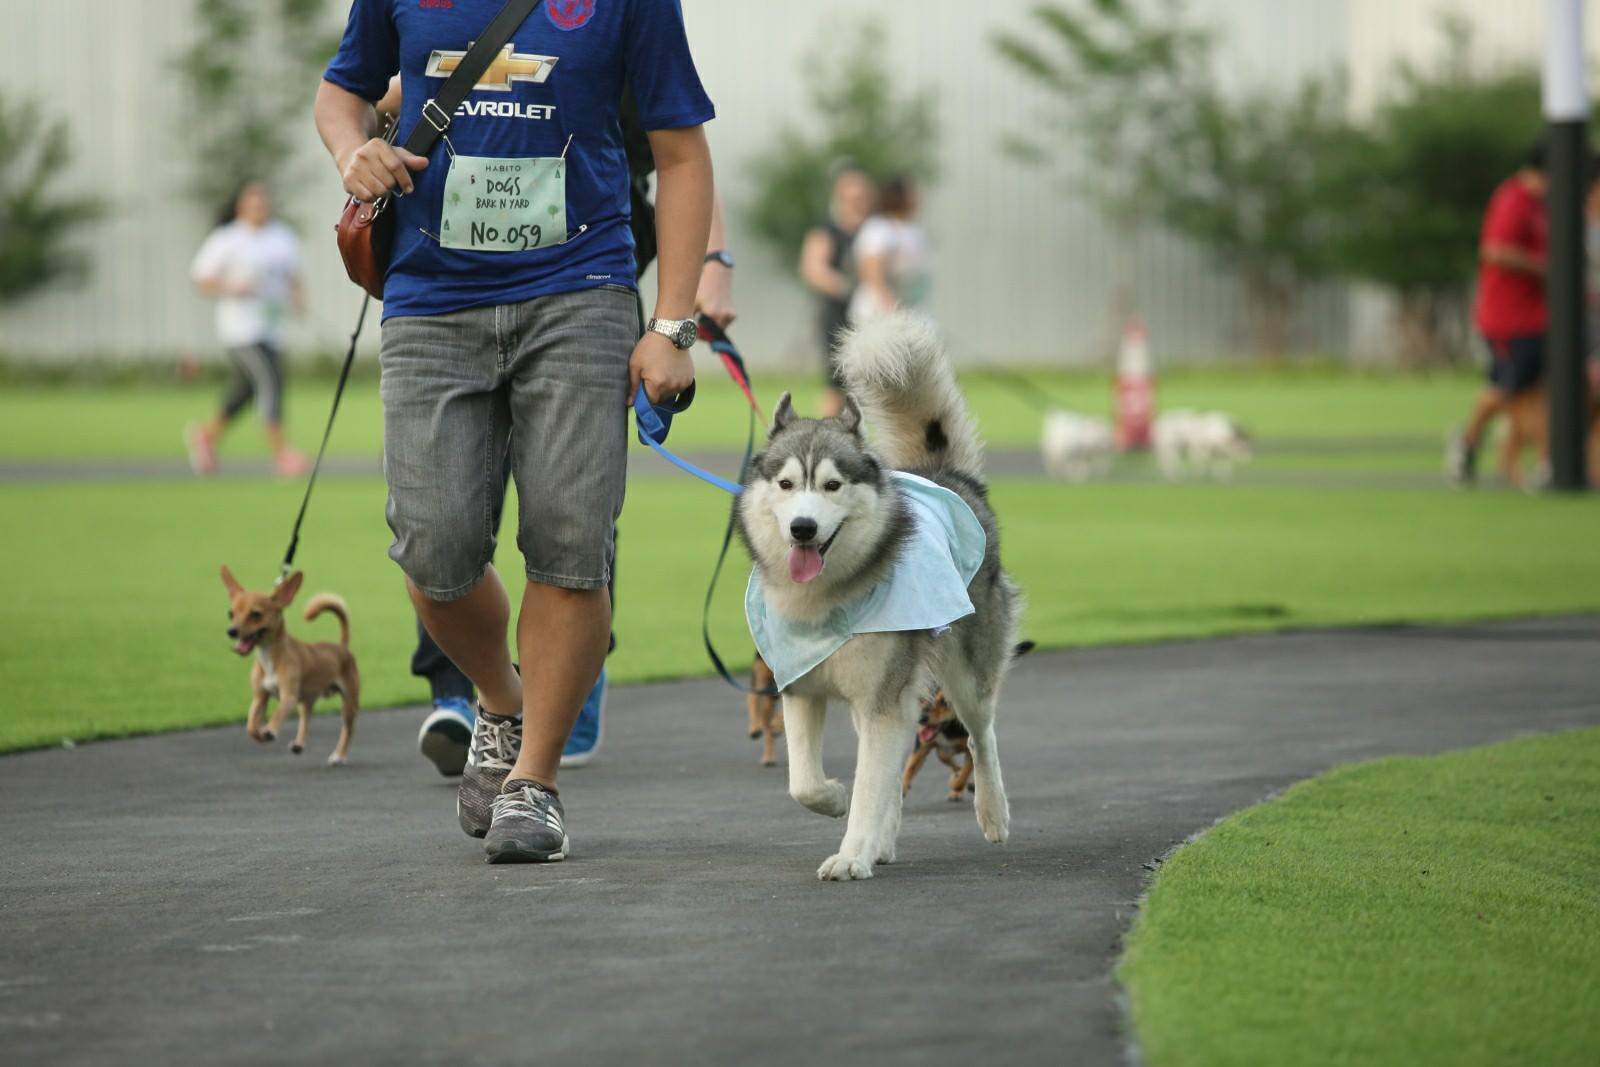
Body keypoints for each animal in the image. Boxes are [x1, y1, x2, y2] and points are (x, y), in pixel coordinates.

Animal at [220, 563, 361, 764]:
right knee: (306, 718)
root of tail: (341, 646)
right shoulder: (260, 698)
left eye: (256, 614)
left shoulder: (288, 697)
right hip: (306, 700)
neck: (269, 657)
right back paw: (298, 743)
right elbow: (251, 725)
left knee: (348, 728)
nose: (232, 631)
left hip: (348, 703)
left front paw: (270, 730)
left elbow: (278, 713)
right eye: (231, 614)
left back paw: (339, 755)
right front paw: (260, 734)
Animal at [739, 313, 1024, 883]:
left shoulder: (882, 701)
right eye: (786, 484)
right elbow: (805, 783)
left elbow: (871, 783)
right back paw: (883, 840)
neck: (824, 603)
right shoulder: (801, 689)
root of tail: (950, 478)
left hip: (964, 677)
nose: (803, 529)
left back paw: (992, 812)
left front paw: (851, 855)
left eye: (832, 485)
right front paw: (835, 801)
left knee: (981, 737)